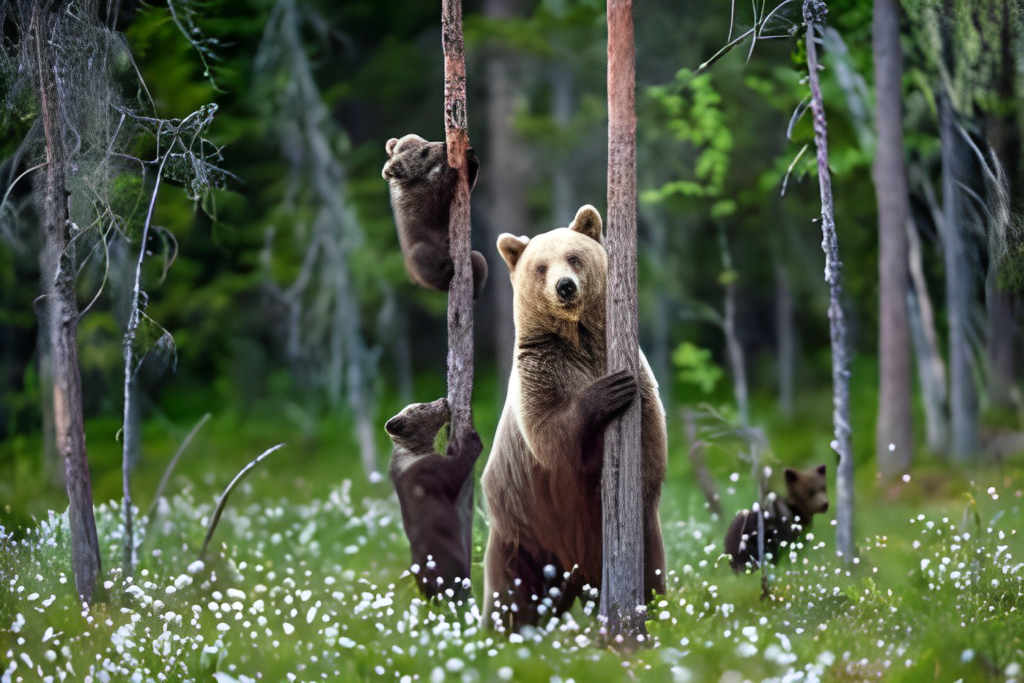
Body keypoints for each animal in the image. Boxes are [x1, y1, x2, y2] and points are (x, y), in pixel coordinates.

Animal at [481, 204, 667, 630]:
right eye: (541, 266)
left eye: (574, 257)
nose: (565, 286)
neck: (578, 340)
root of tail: (576, 575)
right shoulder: (540, 374)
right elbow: (552, 437)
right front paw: (609, 390)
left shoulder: (637, 373)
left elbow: (650, 445)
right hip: (524, 530)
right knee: (511, 594)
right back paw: (502, 632)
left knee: (651, 570)